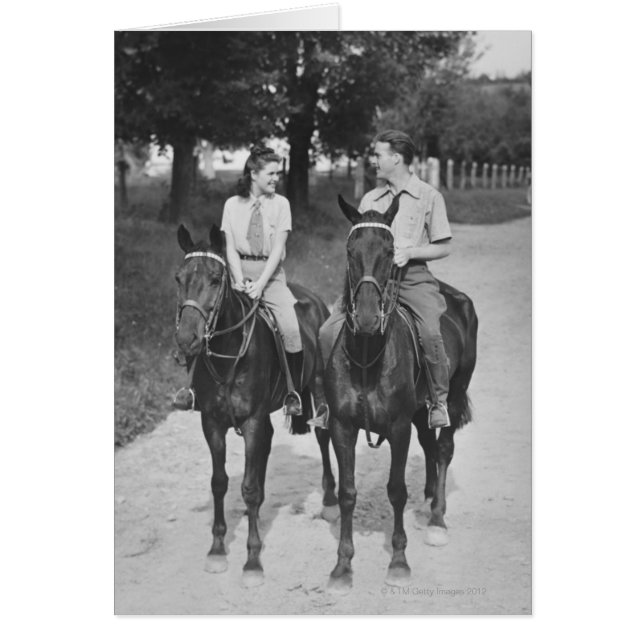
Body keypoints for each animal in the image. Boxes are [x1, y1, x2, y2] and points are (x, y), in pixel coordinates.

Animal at [174, 223, 337, 587]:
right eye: (179, 278)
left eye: (215, 279)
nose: (187, 340)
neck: (230, 353)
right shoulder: (213, 423)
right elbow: (220, 483)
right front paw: (217, 550)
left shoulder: (251, 423)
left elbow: (248, 489)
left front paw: (252, 561)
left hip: (317, 391)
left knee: (323, 437)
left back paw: (331, 500)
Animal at [324, 195, 478, 594]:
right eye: (350, 250)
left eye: (390, 251)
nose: (365, 317)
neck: (367, 355)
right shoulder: (343, 427)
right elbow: (347, 494)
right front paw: (342, 567)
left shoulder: (397, 428)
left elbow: (396, 491)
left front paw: (398, 562)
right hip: (422, 411)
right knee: (431, 446)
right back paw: (429, 501)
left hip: (452, 397)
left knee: (444, 448)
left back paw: (437, 519)